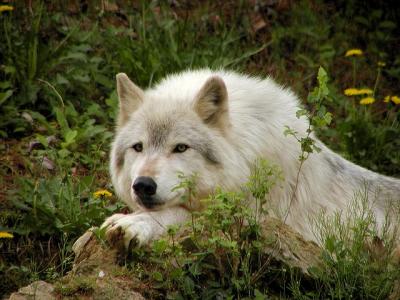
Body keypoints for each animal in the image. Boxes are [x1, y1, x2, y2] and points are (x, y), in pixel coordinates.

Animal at [102, 69, 400, 247]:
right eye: (138, 147)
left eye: (180, 148)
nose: (143, 185)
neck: (248, 158)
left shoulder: (253, 219)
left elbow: (179, 213)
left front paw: (132, 223)